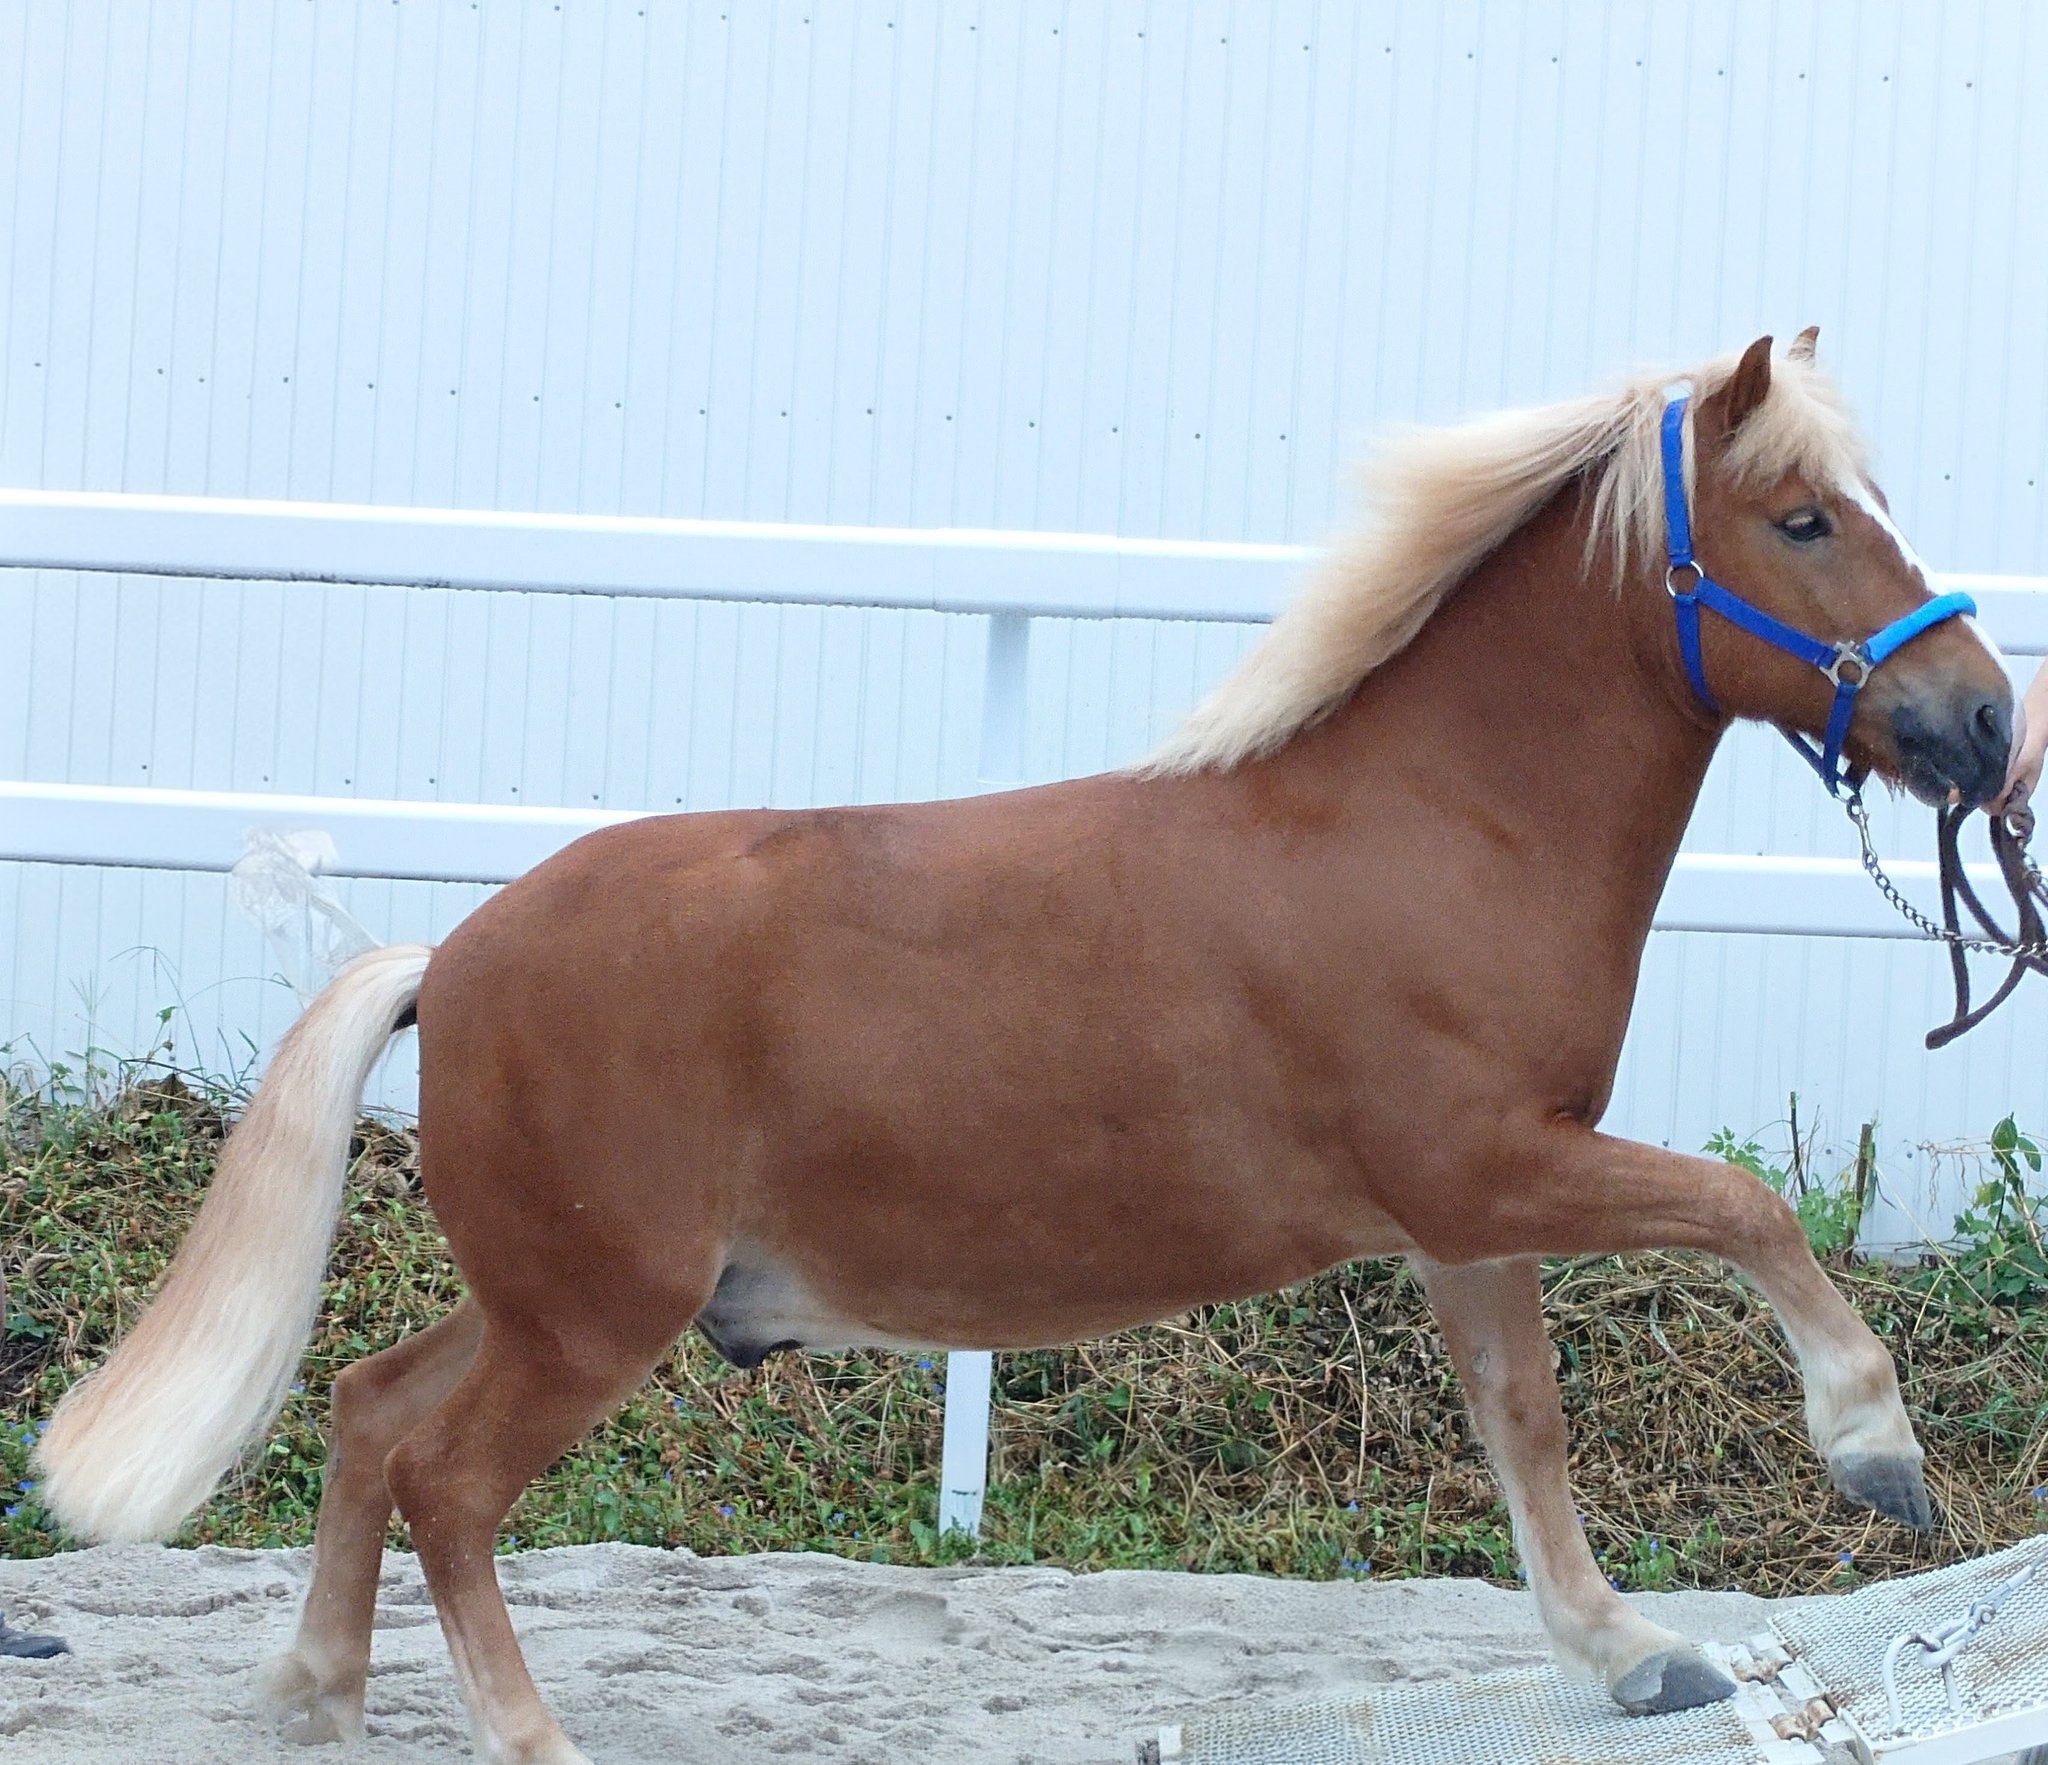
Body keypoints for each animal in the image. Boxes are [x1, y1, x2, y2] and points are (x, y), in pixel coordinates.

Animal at [37, 332, 2015, 1764]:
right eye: (1805, 521)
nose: (1988, 720)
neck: (1435, 824)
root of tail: (450, 953)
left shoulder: (1471, 1216)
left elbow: (1521, 1424)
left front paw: (1629, 1651)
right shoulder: (1495, 1168)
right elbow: (1748, 1211)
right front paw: (1873, 1452)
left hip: (559, 1296)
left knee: (370, 1415)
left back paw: (311, 1695)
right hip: (594, 1318)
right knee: (444, 1481)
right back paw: (529, 1742)